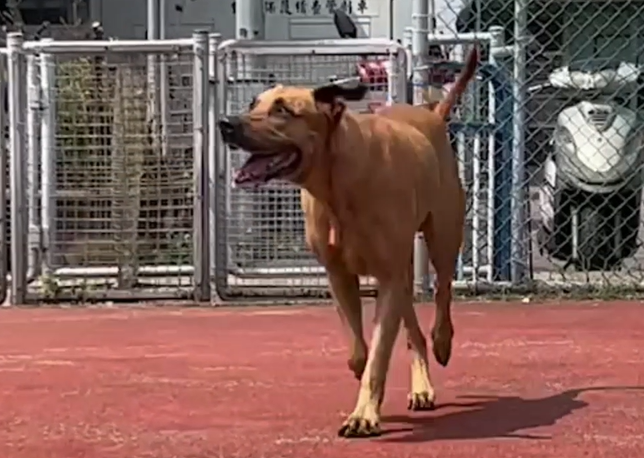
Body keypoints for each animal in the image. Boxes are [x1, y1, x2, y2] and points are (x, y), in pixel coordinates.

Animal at [220, 48, 478, 438]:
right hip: (402, 269)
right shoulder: (340, 274)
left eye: (283, 110)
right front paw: (362, 375)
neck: (336, 183)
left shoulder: (388, 275)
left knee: (443, 293)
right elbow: (360, 350)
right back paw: (421, 386)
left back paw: (442, 342)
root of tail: (431, 114)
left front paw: (363, 415)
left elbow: (378, 356)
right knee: (411, 326)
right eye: (254, 103)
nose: (226, 123)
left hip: (443, 237)